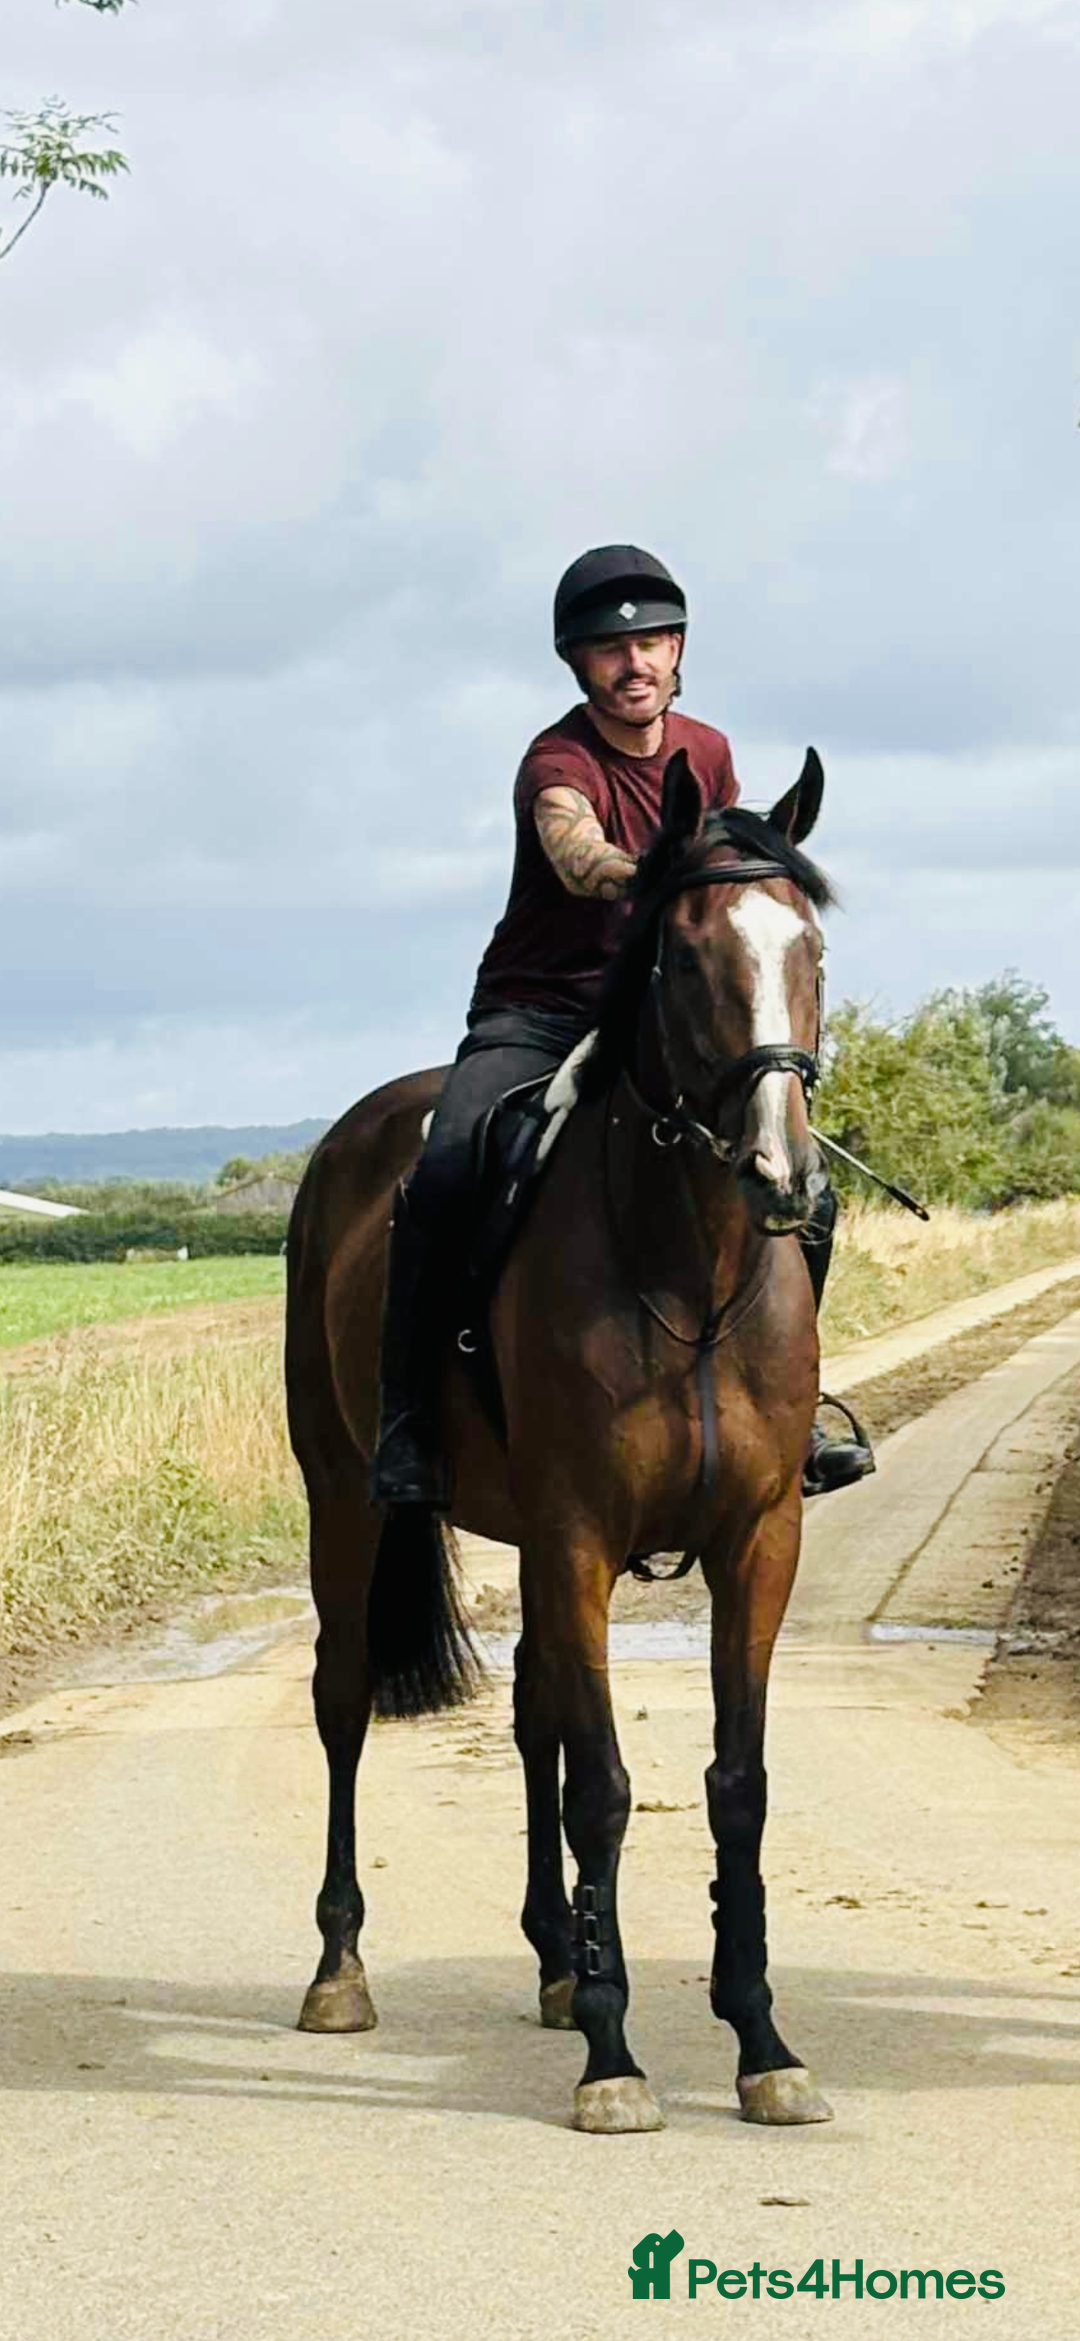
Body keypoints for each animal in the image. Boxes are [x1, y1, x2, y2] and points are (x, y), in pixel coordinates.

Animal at [284, 744, 836, 2134]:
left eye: (811, 946)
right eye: (684, 956)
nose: (783, 1173)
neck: (689, 1268)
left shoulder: (758, 1539)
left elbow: (735, 1785)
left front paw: (761, 2040)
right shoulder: (581, 1533)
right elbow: (605, 1786)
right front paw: (614, 2056)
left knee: (534, 1707)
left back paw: (550, 1957)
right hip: (346, 1500)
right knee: (343, 1699)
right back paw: (340, 1970)